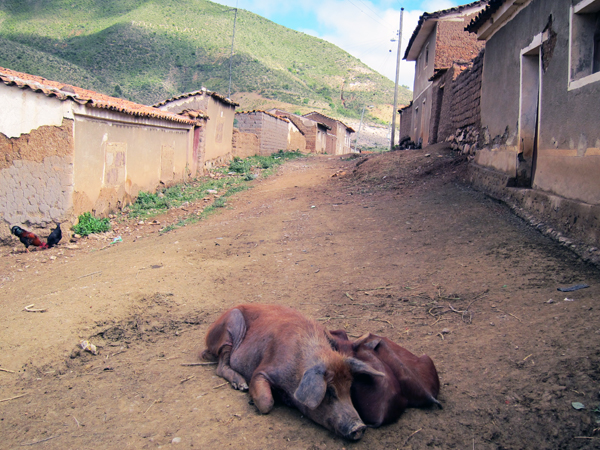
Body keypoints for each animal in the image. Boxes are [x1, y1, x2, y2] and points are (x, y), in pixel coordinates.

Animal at [199, 306, 382, 440]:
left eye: (349, 388)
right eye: (329, 391)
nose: (360, 426)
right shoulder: (262, 371)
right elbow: (266, 402)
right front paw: (252, 397)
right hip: (231, 327)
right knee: (221, 365)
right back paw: (241, 385)